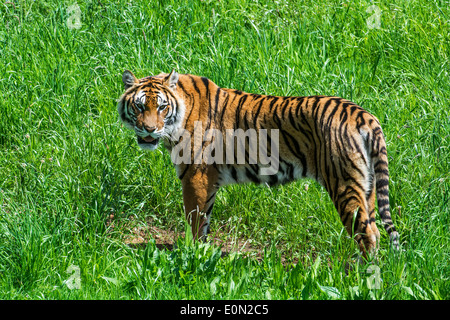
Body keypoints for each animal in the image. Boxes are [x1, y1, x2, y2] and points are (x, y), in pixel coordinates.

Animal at [118, 69, 400, 258]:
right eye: (140, 106)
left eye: (162, 107)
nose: (149, 130)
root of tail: (362, 114)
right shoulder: (209, 181)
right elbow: (205, 219)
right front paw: (204, 254)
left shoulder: (195, 177)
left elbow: (195, 220)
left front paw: (191, 255)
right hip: (367, 186)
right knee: (374, 228)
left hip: (344, 183)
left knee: (367, 234)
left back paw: (358, 277)